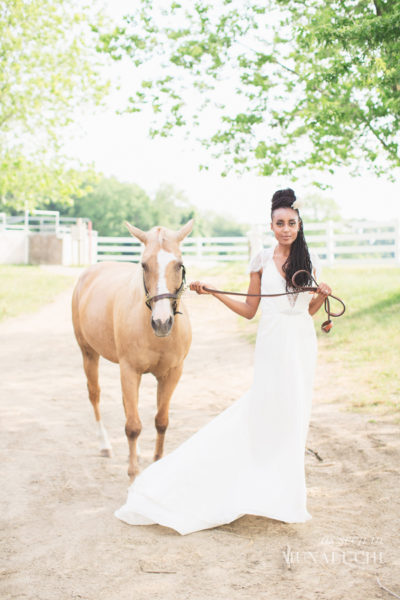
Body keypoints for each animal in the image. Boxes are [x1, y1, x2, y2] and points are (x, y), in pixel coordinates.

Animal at [72, 218, 194, 480]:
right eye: (144, 265)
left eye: (179, 265)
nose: (162, 322)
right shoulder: (129, 371)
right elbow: (133, 427)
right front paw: (133, 474)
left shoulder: (172, 373)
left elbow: (161, 421)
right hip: (88, 353)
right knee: (95, 395)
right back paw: (105, 445)